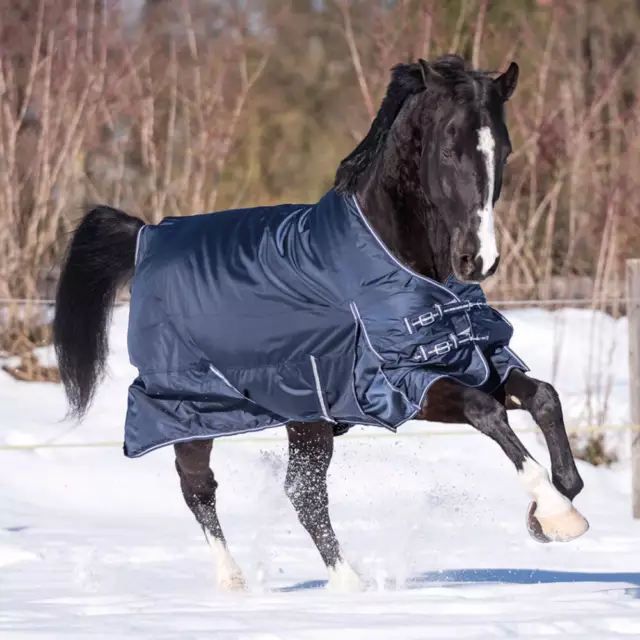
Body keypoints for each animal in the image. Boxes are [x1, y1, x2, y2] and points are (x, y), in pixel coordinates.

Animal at [52, 56, 588, 596]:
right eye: (447, 147)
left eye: (505, 149)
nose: (479, 260)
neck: (394, 259)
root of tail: (146, 235)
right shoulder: (401, 385)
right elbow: (487, 411)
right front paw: (557, 515)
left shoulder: (472, 360)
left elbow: (544, 397)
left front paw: (548, 509)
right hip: (189, 408)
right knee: (201, 487)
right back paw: (244, 582)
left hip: (305, 415)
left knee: (301, 493)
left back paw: (344, 582)